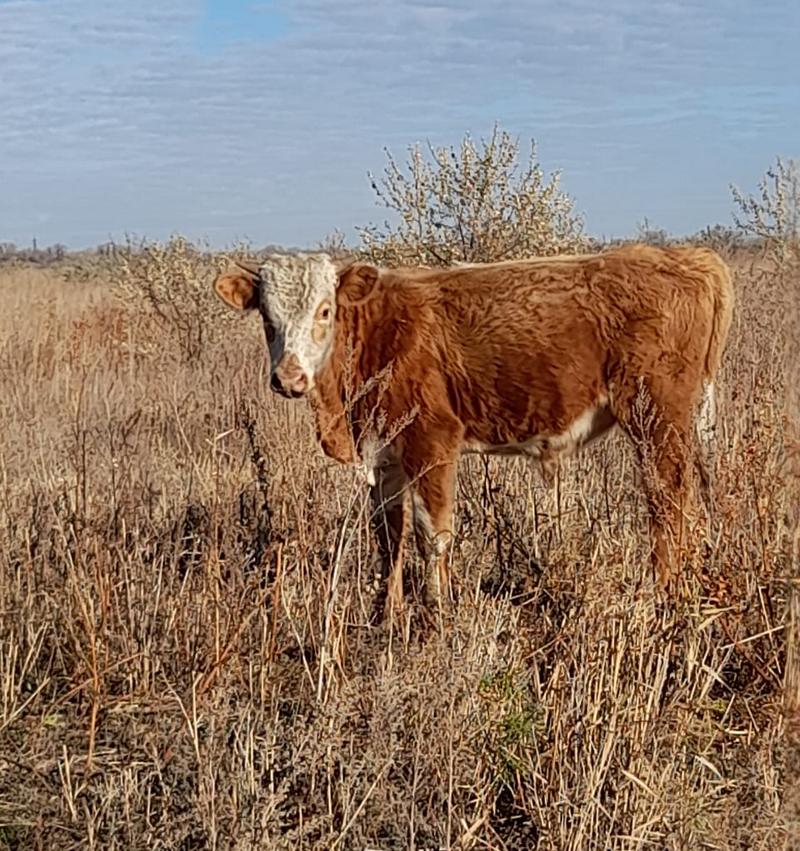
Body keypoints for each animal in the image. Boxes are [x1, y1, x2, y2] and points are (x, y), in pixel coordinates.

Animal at [213, 245, 734, 619]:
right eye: (267, 318)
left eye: (325, 311)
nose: (289, 378)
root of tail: (688, 256)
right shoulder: (385, 455)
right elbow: (389, 536)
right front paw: (387, 615)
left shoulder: (433, 441)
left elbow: (433, 534)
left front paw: (438, 616)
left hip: (656, 418)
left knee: (667, 501)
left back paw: (664, 593)